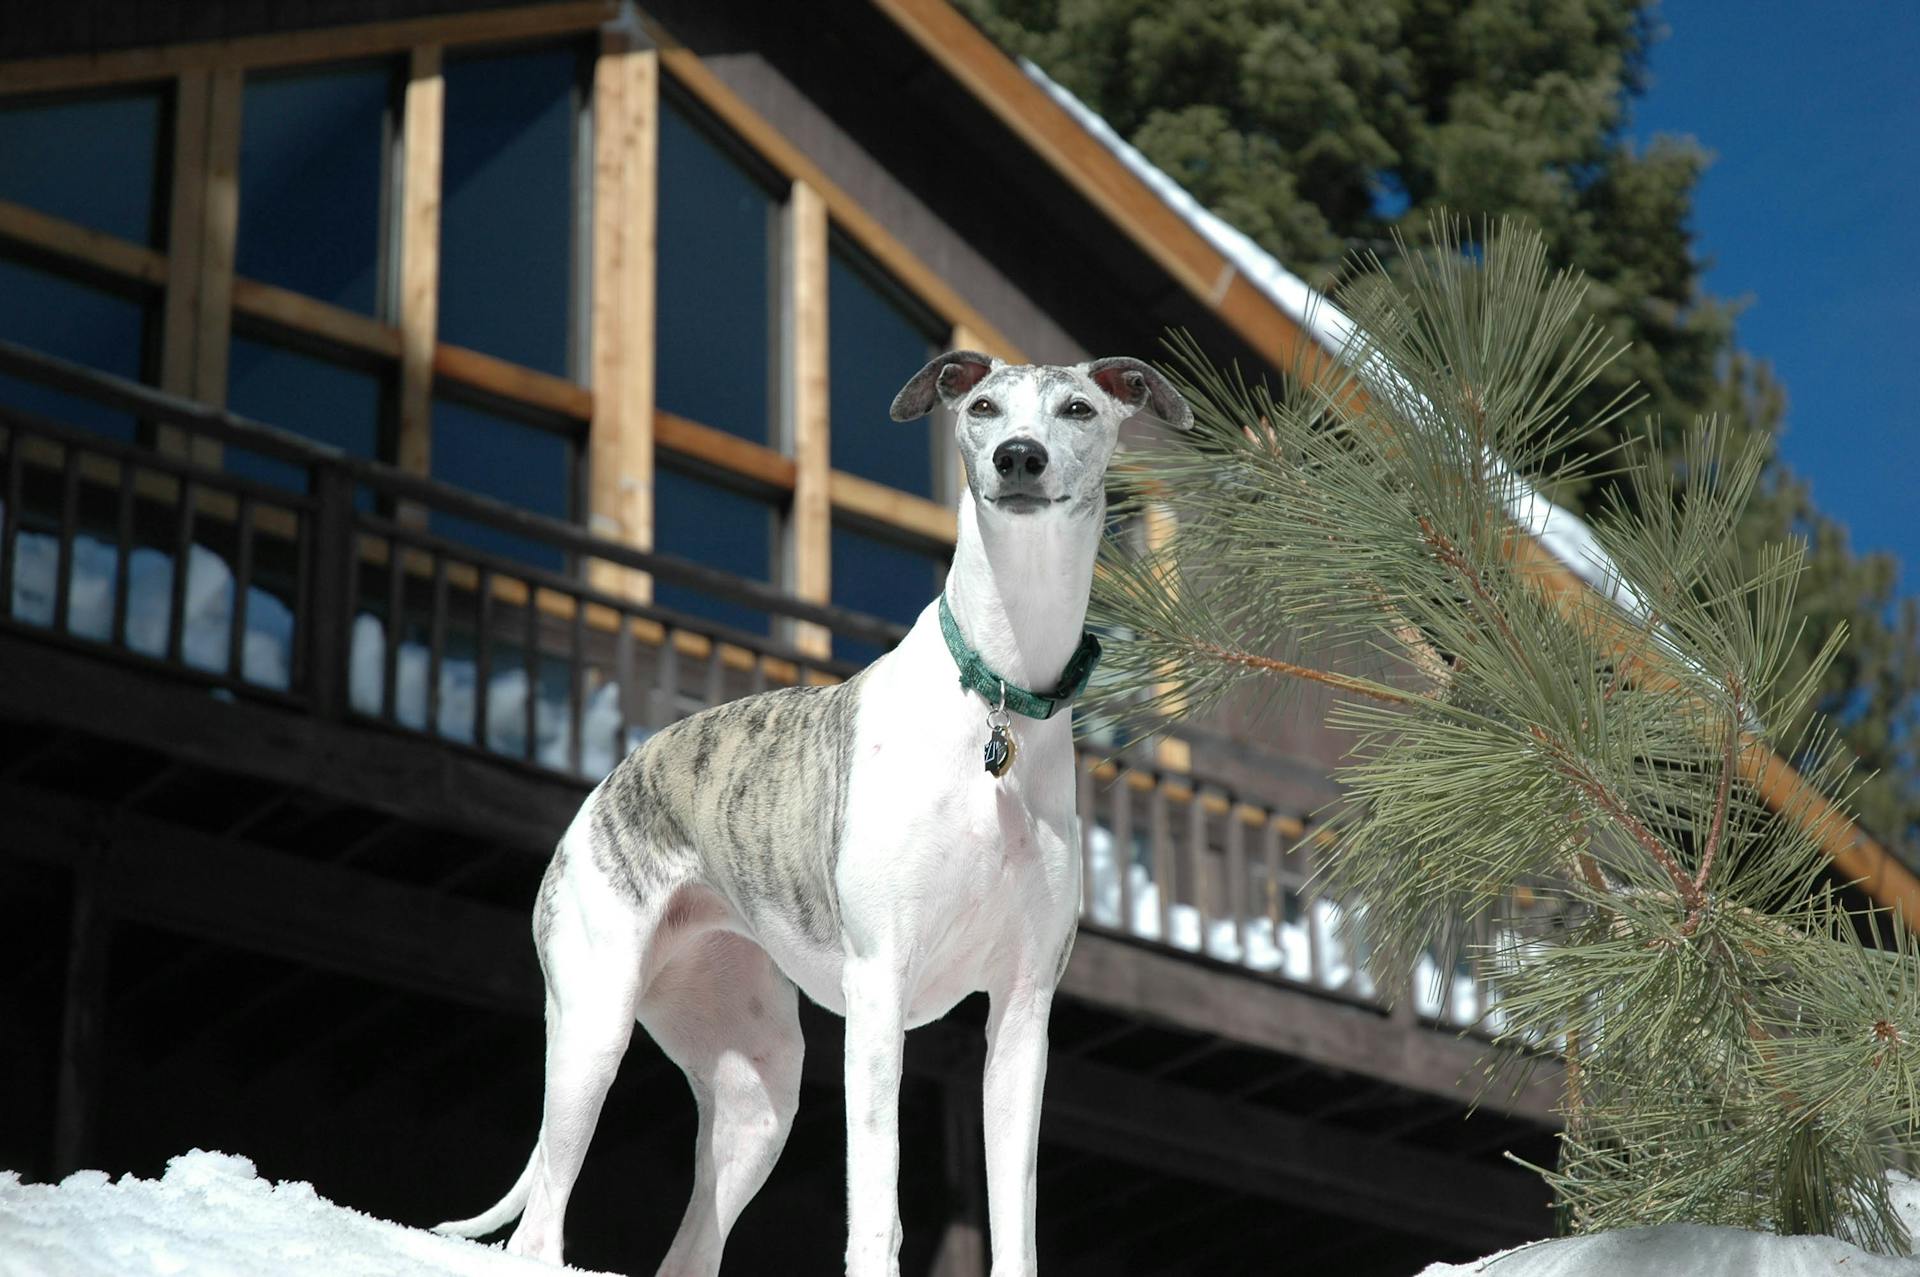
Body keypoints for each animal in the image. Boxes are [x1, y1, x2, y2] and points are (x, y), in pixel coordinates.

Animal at [435, 349, 1182, 1275]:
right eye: (982, 406)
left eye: (1078, 409)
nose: (1018, 458)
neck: (1000, 692)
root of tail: (611, 780)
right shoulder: (879, 988)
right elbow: (878, 1211)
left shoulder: (1022, 1012)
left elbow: (1016, 1225)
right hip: (593, 1027)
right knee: (538, 1225)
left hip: (760, 1093)